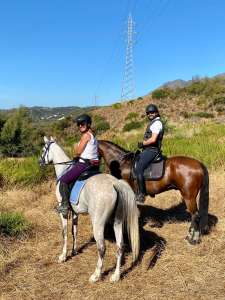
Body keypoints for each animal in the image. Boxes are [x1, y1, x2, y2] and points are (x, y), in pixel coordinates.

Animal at [39, 137, 140, 282]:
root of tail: (115, 184)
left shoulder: (64, 213)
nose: (39, 162)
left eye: (43, 149)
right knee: (120, 246)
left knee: (102, 247)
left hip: (98, 223)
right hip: (118, 221)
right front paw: (74, 251)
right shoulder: (75, 212)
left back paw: (96, 275)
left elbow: (64, 233)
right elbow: (74, 231)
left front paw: (63, 256)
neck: (64, 169)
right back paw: (116, 276)